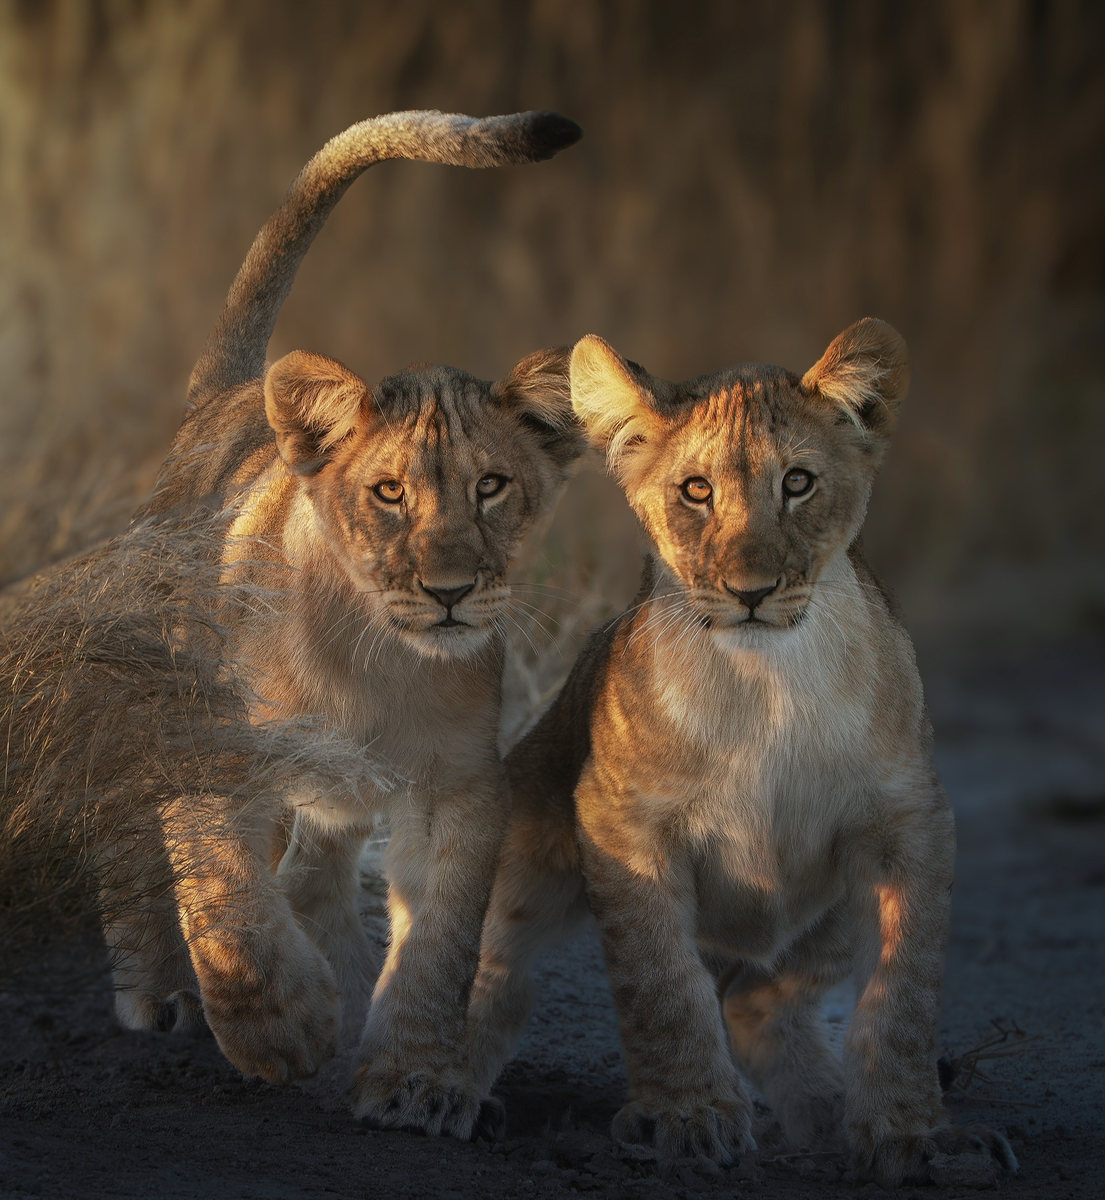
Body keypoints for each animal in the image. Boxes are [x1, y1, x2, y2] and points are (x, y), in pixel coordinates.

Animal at [101, 110, 584, 1138]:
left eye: (492, 486)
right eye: (389, 493)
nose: (449, 591)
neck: (376, 659)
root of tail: (224, 401)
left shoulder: (461, 790)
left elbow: (441, 945)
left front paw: (414, 1080)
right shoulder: (212, 755)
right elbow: (224, 901)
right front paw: (281, 1030)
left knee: (317, 867)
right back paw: (159, 989)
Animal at [464, 319, 1019, 1184]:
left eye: (797, 482)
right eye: (695, 492)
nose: (750, 591)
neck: (768, 682)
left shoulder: (909, 823)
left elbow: (903, 993)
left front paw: (911, 1133)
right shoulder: (623, 822)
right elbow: (661, 981)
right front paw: (686, 1115)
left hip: (825, 912)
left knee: (759, 1002)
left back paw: (825, 1112)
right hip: (516, 854)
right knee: (481, 975)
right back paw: (433, 1091)